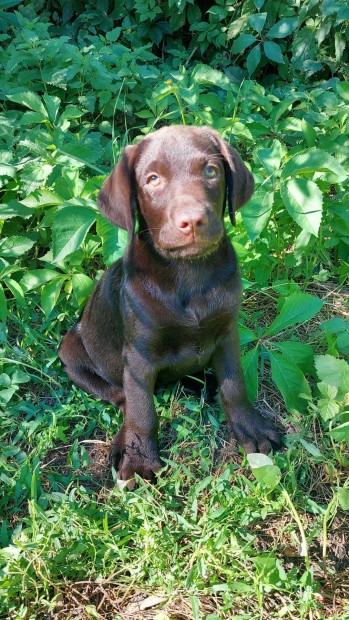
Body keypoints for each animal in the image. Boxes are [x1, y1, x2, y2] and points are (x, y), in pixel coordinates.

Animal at [58, 127, 278, 484]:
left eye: (211, 171)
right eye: (152, 180)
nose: (192, 220)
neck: (188, 273)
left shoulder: (227, 333)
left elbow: (234, 384)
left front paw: (250, 427)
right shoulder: (139, 355)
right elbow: (142, 410)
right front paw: (140, 459)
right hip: (72, 350)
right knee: (123, 398)